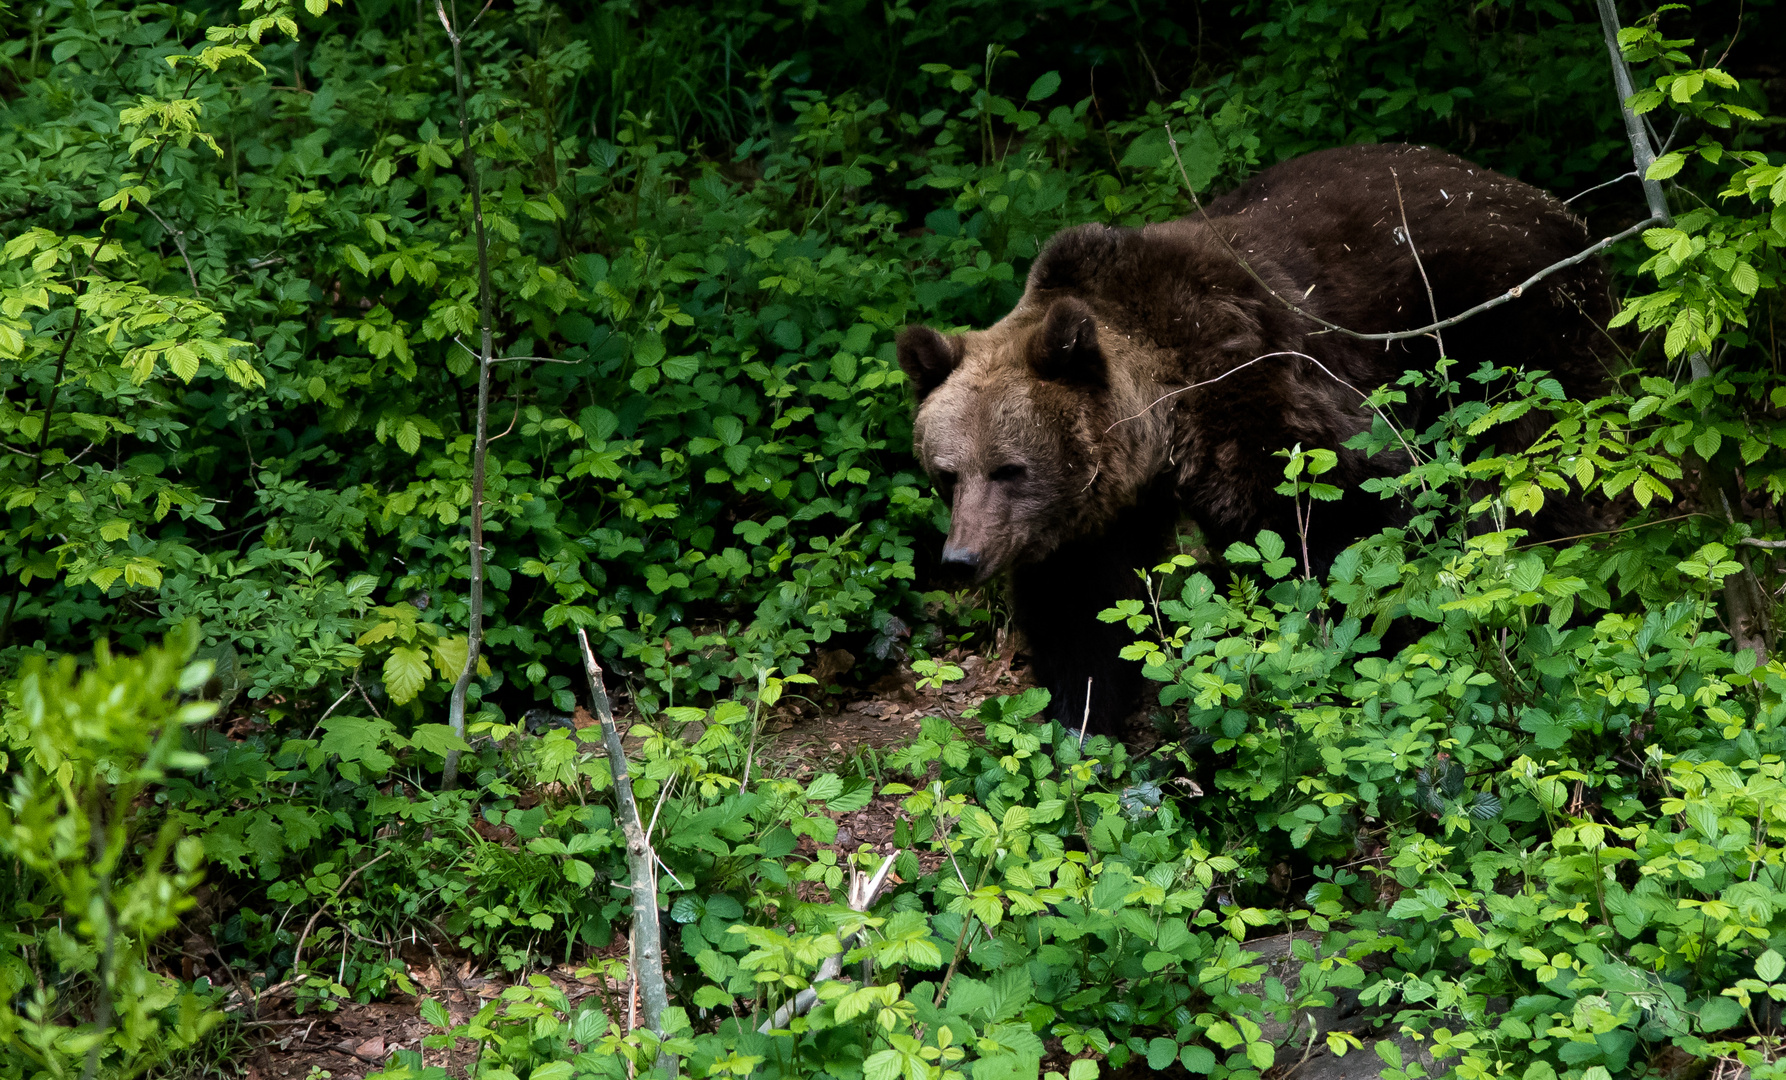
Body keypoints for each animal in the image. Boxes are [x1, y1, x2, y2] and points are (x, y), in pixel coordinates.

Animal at [900, 141, 1614, 731]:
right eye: (947, 473)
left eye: (1008, 468)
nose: (961, 558)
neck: (1158, 416)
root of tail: (1553, 206)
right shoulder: (1092, 513)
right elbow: (1083, 607)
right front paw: (1080, 722)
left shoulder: (1252, 383)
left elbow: (1333, 526)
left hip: (1509, 328)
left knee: (1537, 461)